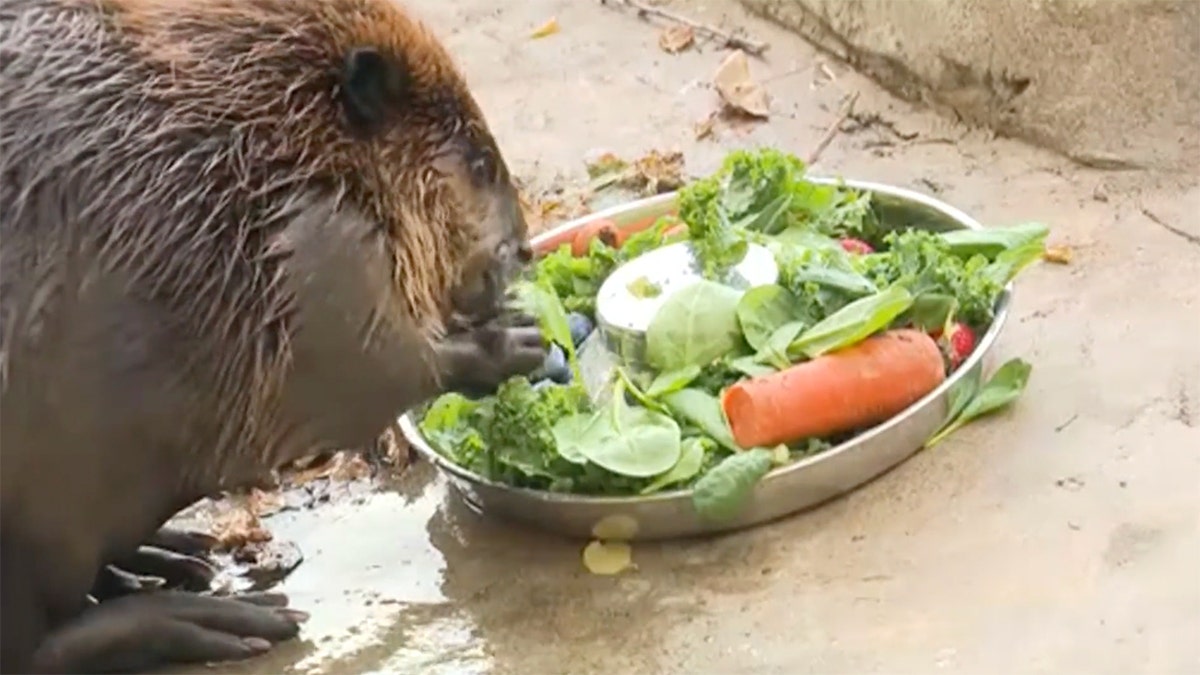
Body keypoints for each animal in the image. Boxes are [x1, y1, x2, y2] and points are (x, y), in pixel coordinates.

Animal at [1, 1, 549, 667]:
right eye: (480, 163)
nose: (524, 248)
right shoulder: (307, 246)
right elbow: (357, 371)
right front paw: (517, 340)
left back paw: (179, 553)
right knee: (38, 645)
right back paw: (224, 615)